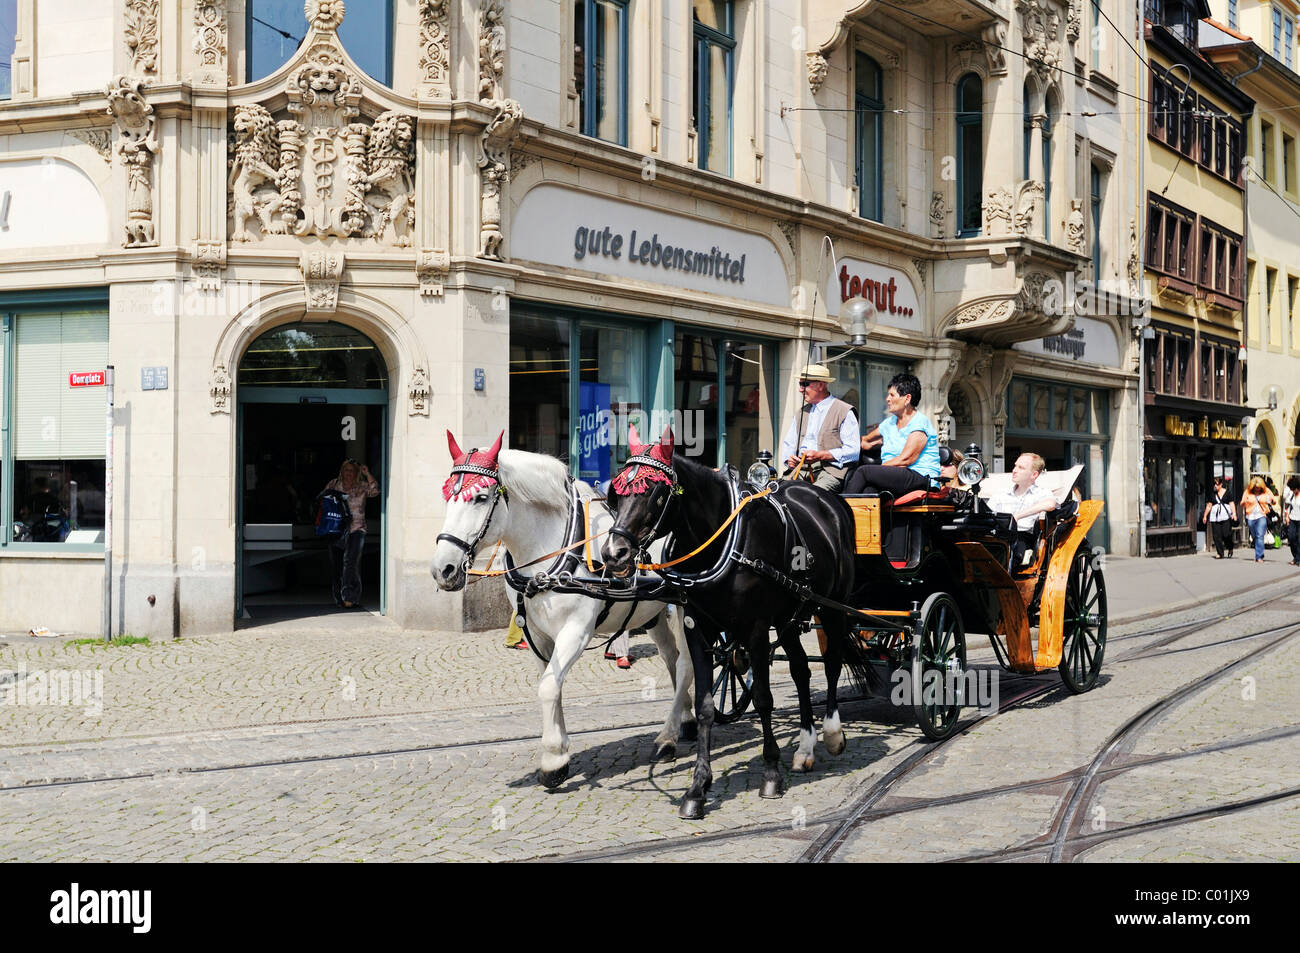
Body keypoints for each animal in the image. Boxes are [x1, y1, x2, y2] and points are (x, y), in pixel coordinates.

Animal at [431, 434, 696, 790]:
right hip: (652, 612)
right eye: (448, 495)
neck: (550, 549)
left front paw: (553, 758)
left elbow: (547, 688)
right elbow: (550, 686)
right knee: (671, 658)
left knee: (685, 664)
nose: (442, 569)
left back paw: (667, 737)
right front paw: (558, 755)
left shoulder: (576, 631)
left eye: (481, 497)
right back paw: (686, 719)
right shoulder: (537, 634)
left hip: (683, 608)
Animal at [600, 426, 873, 816]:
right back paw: (805, 748)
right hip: (791, 615)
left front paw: (771, 774)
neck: (717, 541)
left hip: (832, 606)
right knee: (801, 671)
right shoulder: (697, 628)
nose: (613, 554)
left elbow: (763, 698)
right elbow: (704, 706)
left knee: (833, 662)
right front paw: (697, 788)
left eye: (654, 492)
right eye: (617, 493)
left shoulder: (756, 629)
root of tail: (826, 500)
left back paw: (833, 735)